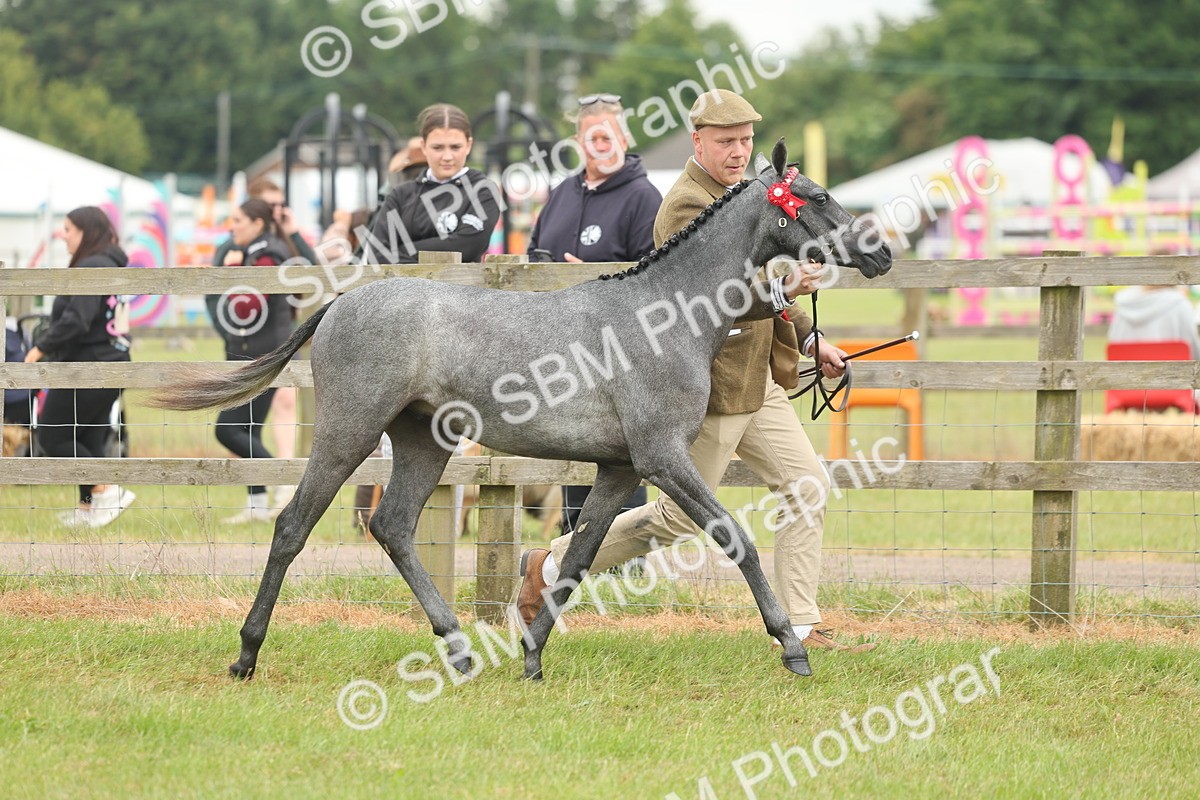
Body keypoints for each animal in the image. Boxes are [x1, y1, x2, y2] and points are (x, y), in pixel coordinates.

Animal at [150, 140, 891, 681]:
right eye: (816, 197)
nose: (881, 251)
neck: (665, 316)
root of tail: (339, 303)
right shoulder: (662, 458)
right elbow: (734, 538)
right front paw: (792, 648)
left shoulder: (620, 469)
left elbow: (580, 557)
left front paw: (532, 656)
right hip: (347, 433)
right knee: (293, 527)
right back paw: (247, 654)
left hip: (423, 441)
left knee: (392, 527)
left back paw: (457, 649)